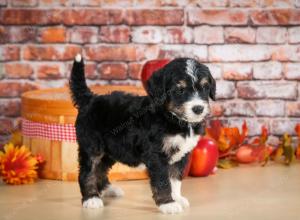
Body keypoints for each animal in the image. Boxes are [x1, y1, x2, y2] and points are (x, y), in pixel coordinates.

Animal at [69, 54, 216, 214]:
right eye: (179, 90)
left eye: (205, 87)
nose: (198, 108)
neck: (171, 117)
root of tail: (90, 99)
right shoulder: (156, 155)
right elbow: (163, 180)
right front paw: (168, 203)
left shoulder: (181, 155)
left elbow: (175, 178)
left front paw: (177, 198)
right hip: (92, 147)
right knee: (87, 172)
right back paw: (91, 198)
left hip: (110, 151)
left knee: (100, 169)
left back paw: (108, 190)